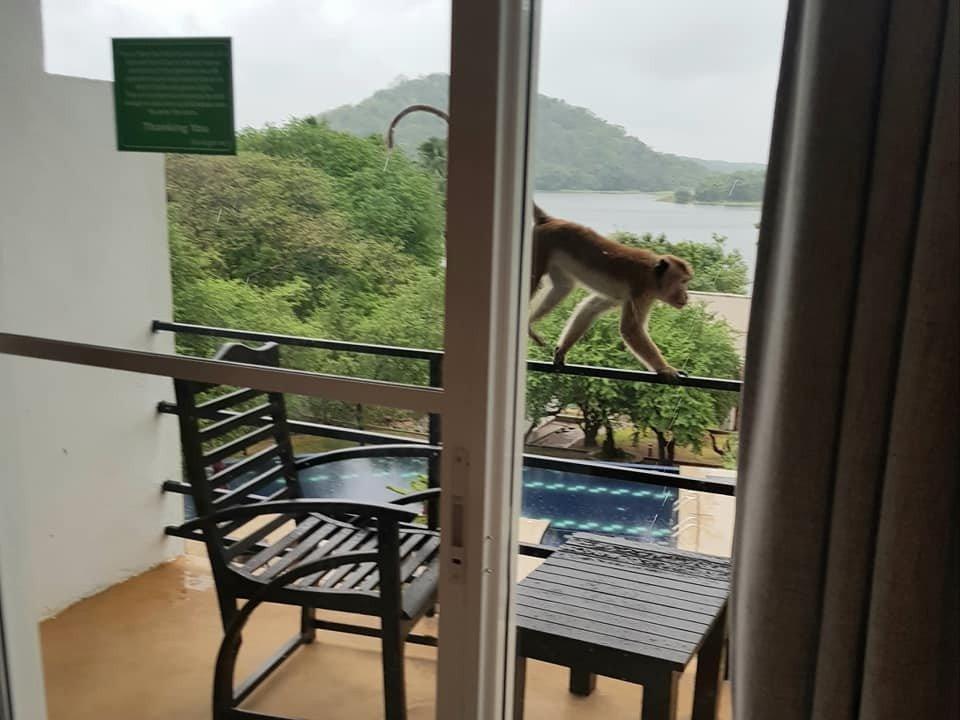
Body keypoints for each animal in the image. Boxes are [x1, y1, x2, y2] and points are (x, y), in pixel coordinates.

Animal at [528, 204, 692, 380]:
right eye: (682, 282)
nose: (686, 296)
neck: (652, 274)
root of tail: (549, 220)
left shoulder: (620, 296)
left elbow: (589, 308)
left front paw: (562, 350)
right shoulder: (641, 292)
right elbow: (631, 329)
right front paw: (666, 369)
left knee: (563, 287)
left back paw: (528, 325)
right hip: (540, 246)